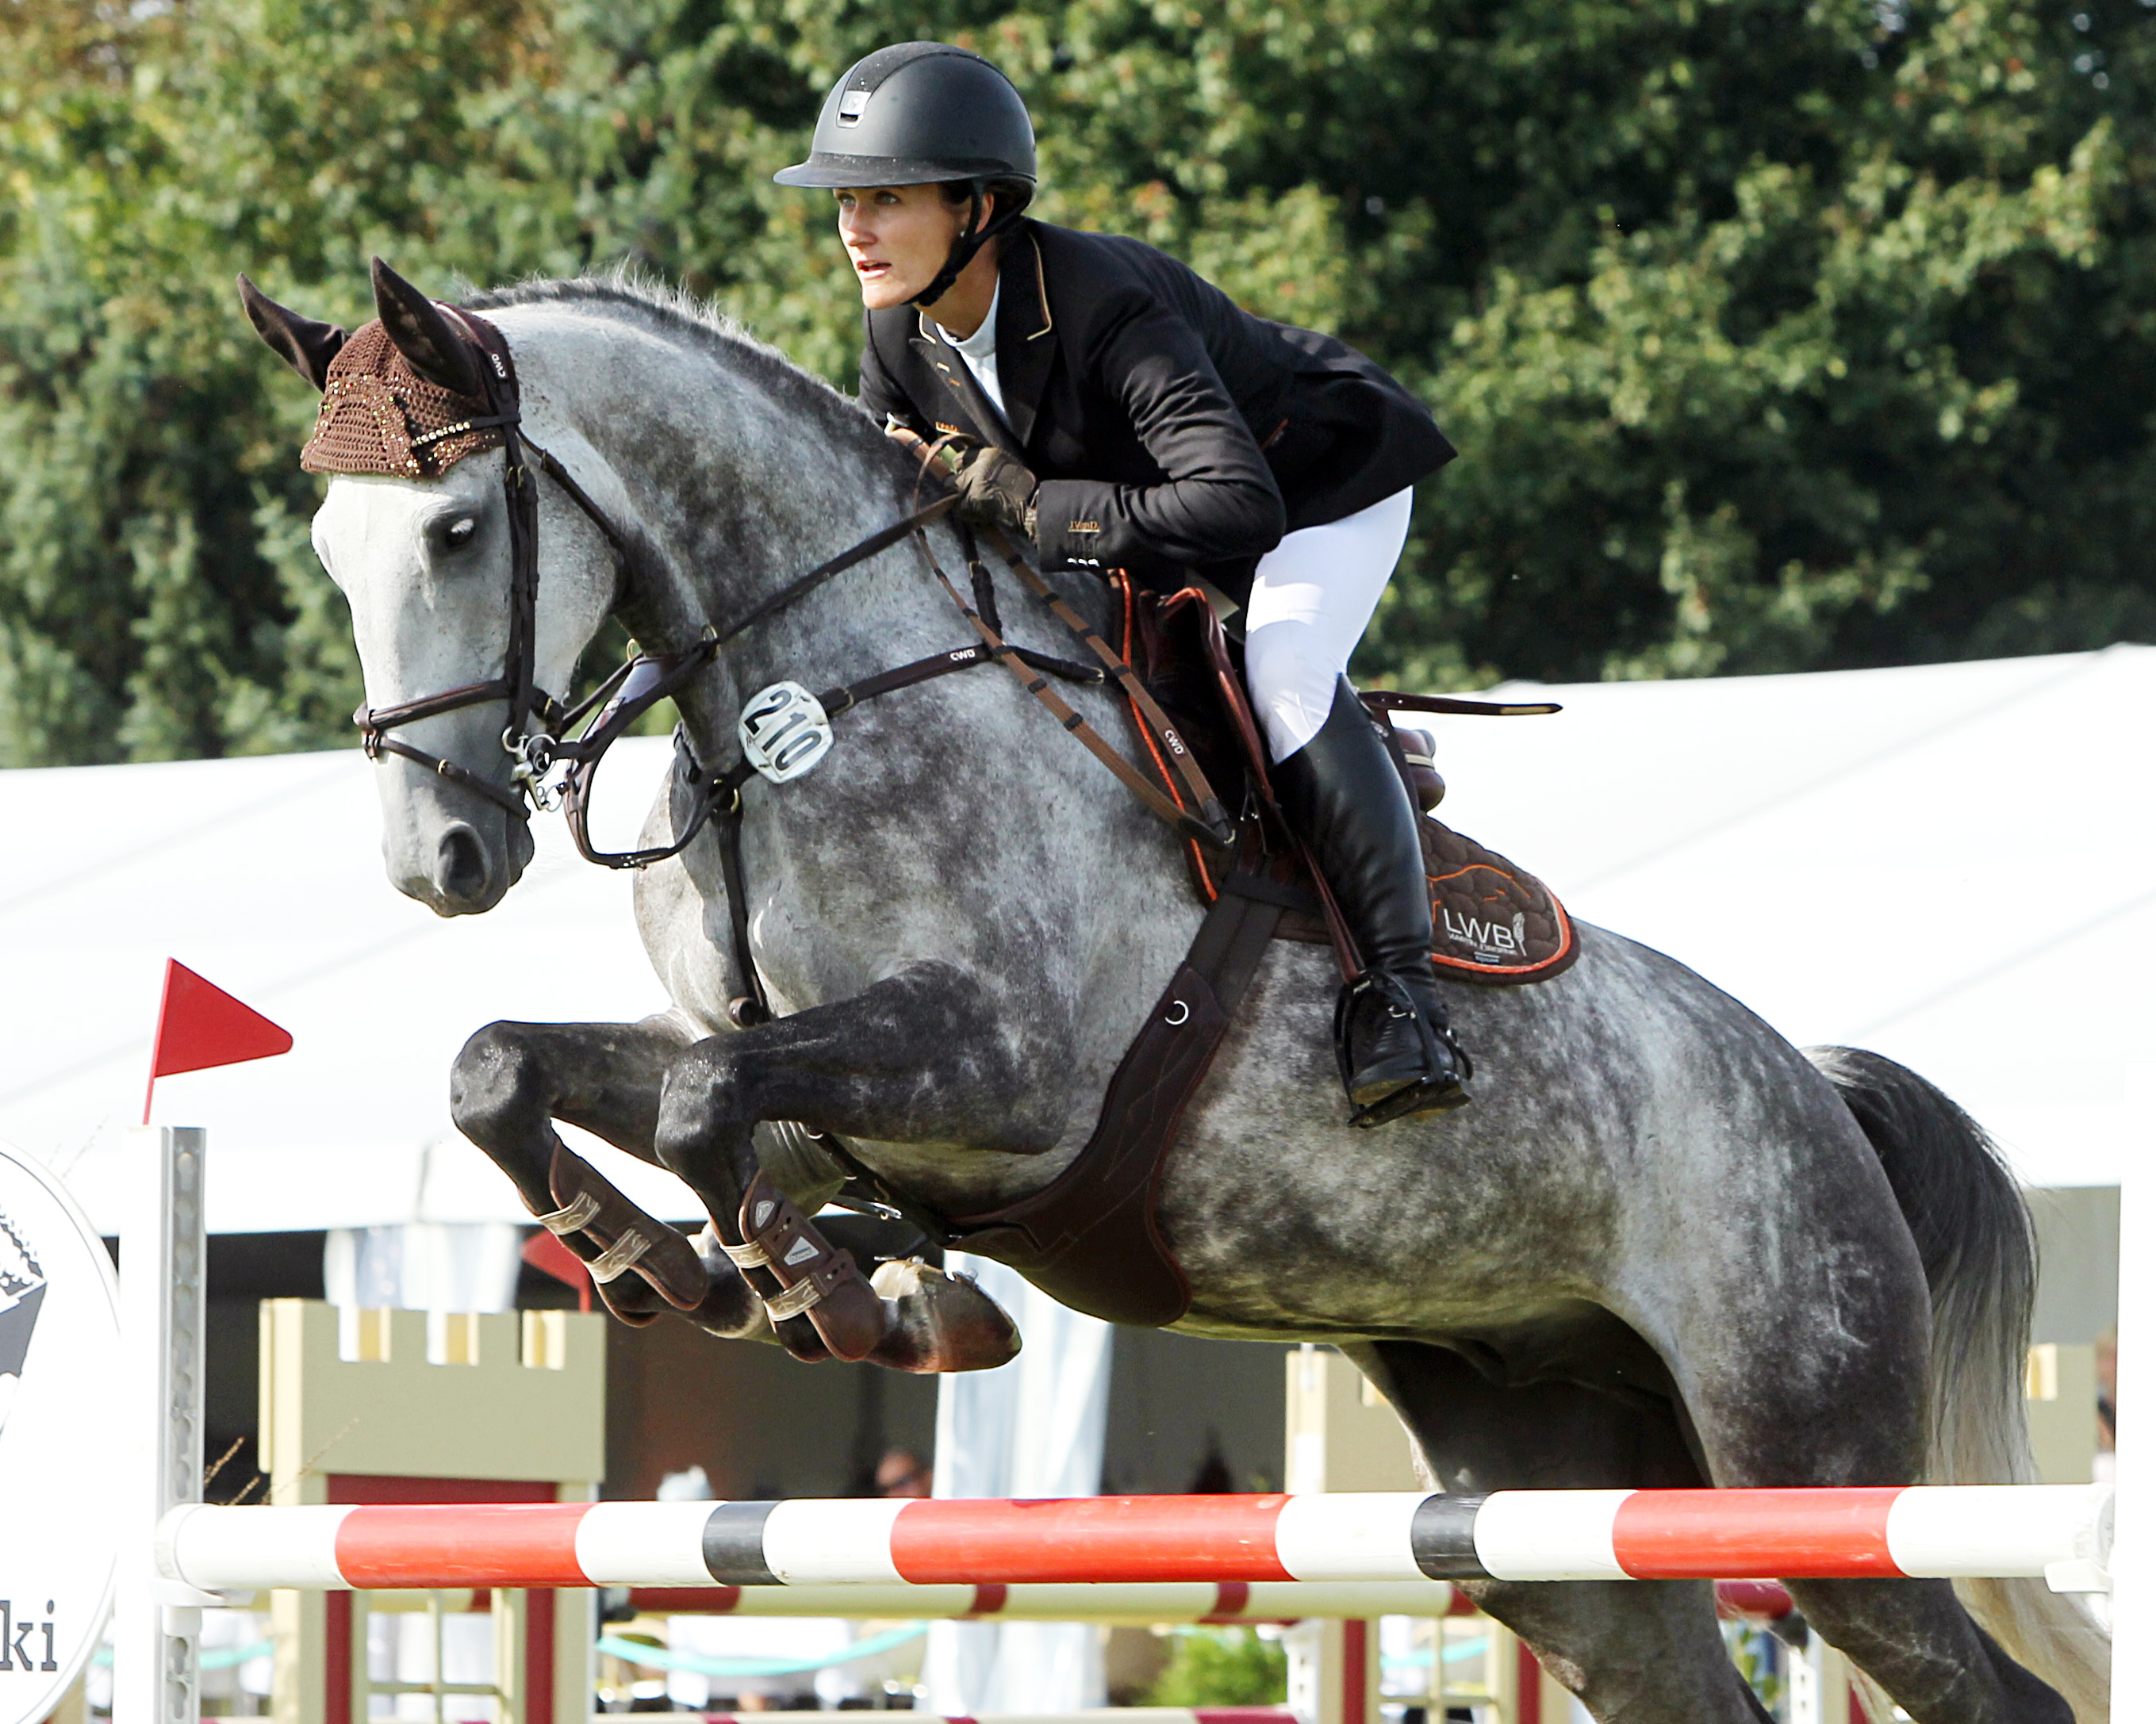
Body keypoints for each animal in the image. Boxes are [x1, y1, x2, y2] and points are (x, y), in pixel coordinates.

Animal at [240, 259, 2104, 1724]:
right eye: (327, 543)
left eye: (459, 527)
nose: (441, 857)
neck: (805, 709)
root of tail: (1816, 1088)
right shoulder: (769, 1053)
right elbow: (512, 1068)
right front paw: (684, 1263)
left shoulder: (1000, 1074)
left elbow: (716, 1110)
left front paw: (821, 1289)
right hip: (1549, 1483)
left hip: (1812, 1456)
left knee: (1965, 1670)